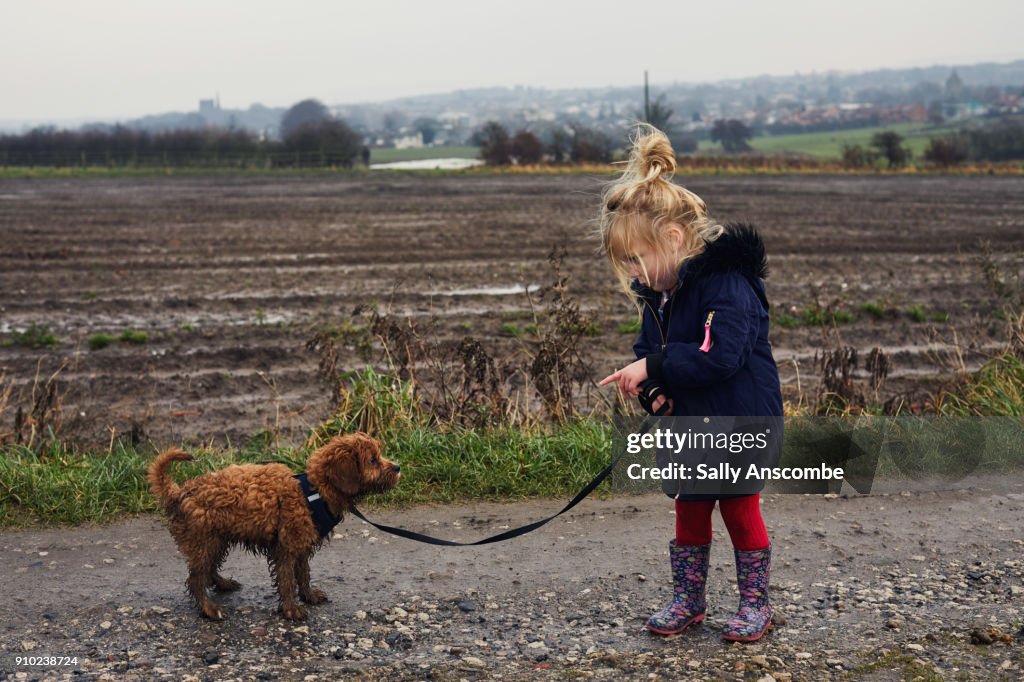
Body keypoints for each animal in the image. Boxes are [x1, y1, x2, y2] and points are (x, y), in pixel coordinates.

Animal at [148, 432, 399, 618]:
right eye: (373, 460)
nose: (397, 467)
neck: (314, 492)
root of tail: (180, 493)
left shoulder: (301, 546)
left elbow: (304, 574)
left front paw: (309, 596)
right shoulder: (286, 548)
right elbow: (287, 579)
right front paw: (291, 609)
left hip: (217, 539)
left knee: (208, 570)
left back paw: (224, 583)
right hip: (204, 541)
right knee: (196, 579)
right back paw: (209, 609)